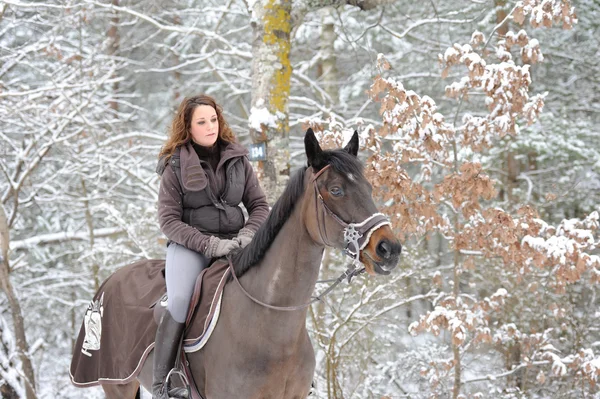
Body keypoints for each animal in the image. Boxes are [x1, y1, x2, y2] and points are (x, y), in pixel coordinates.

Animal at [102, 130, 404, 398]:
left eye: (369, 188)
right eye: (336, 190)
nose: (389, 248)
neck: (271, 327)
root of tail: (110, 280)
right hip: (117, 386)